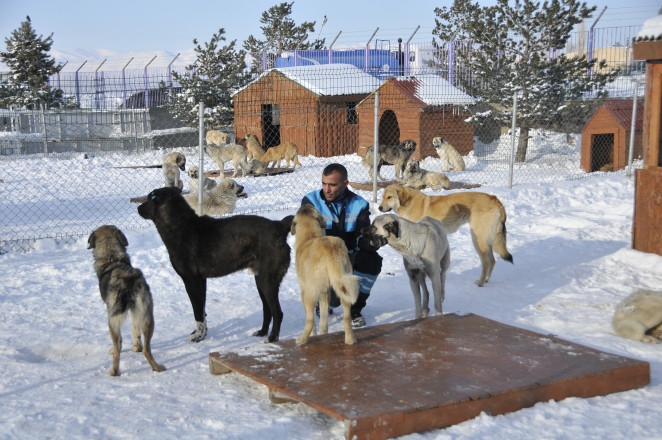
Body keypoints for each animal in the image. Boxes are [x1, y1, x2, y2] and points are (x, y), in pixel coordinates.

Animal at [87, 225, 166, 376]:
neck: (112, 258)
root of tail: (127, 280)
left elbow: (119, 343)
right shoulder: (134, 311)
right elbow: (135, 330)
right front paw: (136, 347)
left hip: (112, 321)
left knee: (118, 349)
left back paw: (114, 371)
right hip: (148, 317)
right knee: (147, 349)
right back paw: (157, 367)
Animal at [138, 187, 294, 342]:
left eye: (149, 197)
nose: (138, 208)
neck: (180, 226)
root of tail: (279, 226)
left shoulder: (191, 281)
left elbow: (197, 312)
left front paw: (198, 336)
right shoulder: (201, 281)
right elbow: (202, 311)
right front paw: (202, 333)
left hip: (267, 280)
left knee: (277, 312)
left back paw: (272, 337)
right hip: (260, 280)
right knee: (267, 310)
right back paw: (262, 332)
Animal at [294, 205, 360, 346]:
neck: (310, 235)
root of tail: (331, 249)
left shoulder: (304, 291)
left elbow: (313, 320)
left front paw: (314, 335)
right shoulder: (325, 292)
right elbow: (324, 321)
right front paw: (323, 334)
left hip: (310, 293)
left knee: (310, 321)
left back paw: (302, 340)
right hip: (345, 286)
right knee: (346, 319)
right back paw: (350, 340)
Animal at [378, 184, 512, 288]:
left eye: (389, 197)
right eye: (382, 197)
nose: (379, 207)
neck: (408, 203)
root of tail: (495, 199)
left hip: (478, 239)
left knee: (486, 261)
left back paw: (480, 283)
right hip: (486, 240)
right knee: (492, 260)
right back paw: (486, 280)